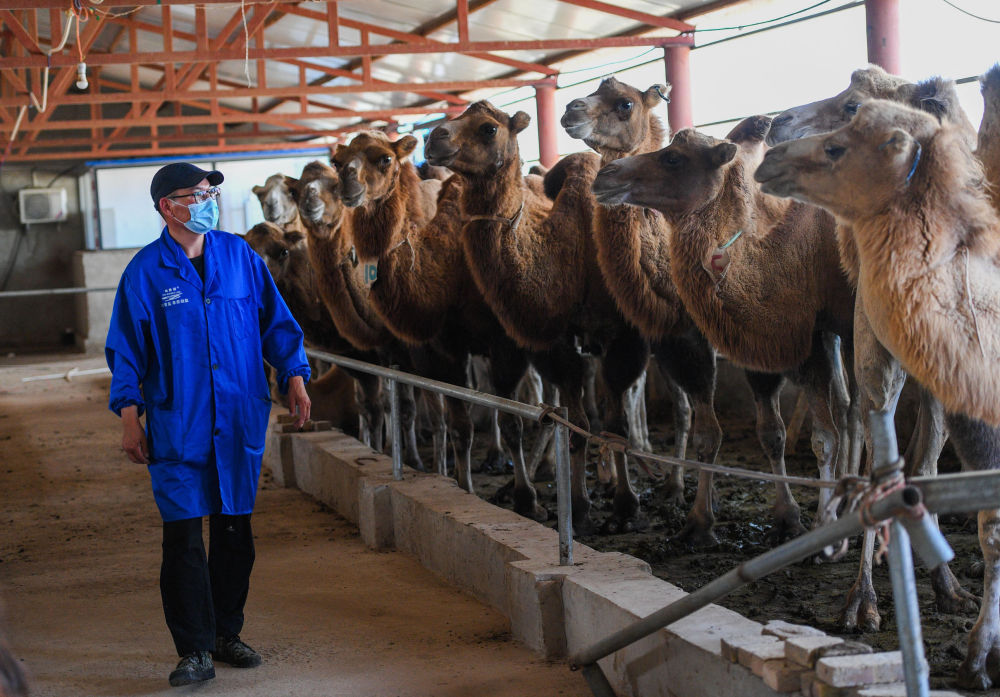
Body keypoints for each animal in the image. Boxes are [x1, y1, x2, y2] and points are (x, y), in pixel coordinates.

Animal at [428, 99, 652, 532]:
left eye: (488, 128)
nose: (434, 138)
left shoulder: (623, 334)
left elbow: (615, 424)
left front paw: (625, 506)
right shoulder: (555, 343)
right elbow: (575, 425)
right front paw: (577, 507)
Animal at [560, 77, 732, 544]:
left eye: (625, 103)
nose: (570, 109)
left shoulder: (690, 341)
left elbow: (709, 430)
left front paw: (700, 522)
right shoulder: (649, 341)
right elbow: (617, 420)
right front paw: (622, 504)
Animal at [584, 113, 860, 544]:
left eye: (674, 158)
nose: (606, 175)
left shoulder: (814, 338)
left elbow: (814, 435)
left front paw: (812, 523)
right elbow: (718, 432)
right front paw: (700, 518)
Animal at [752, 96, 1000, 692]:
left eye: (838, 147)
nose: (769, 155)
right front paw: (979, 656)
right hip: (872, 353)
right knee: (874, 446)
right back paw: (860, 601)